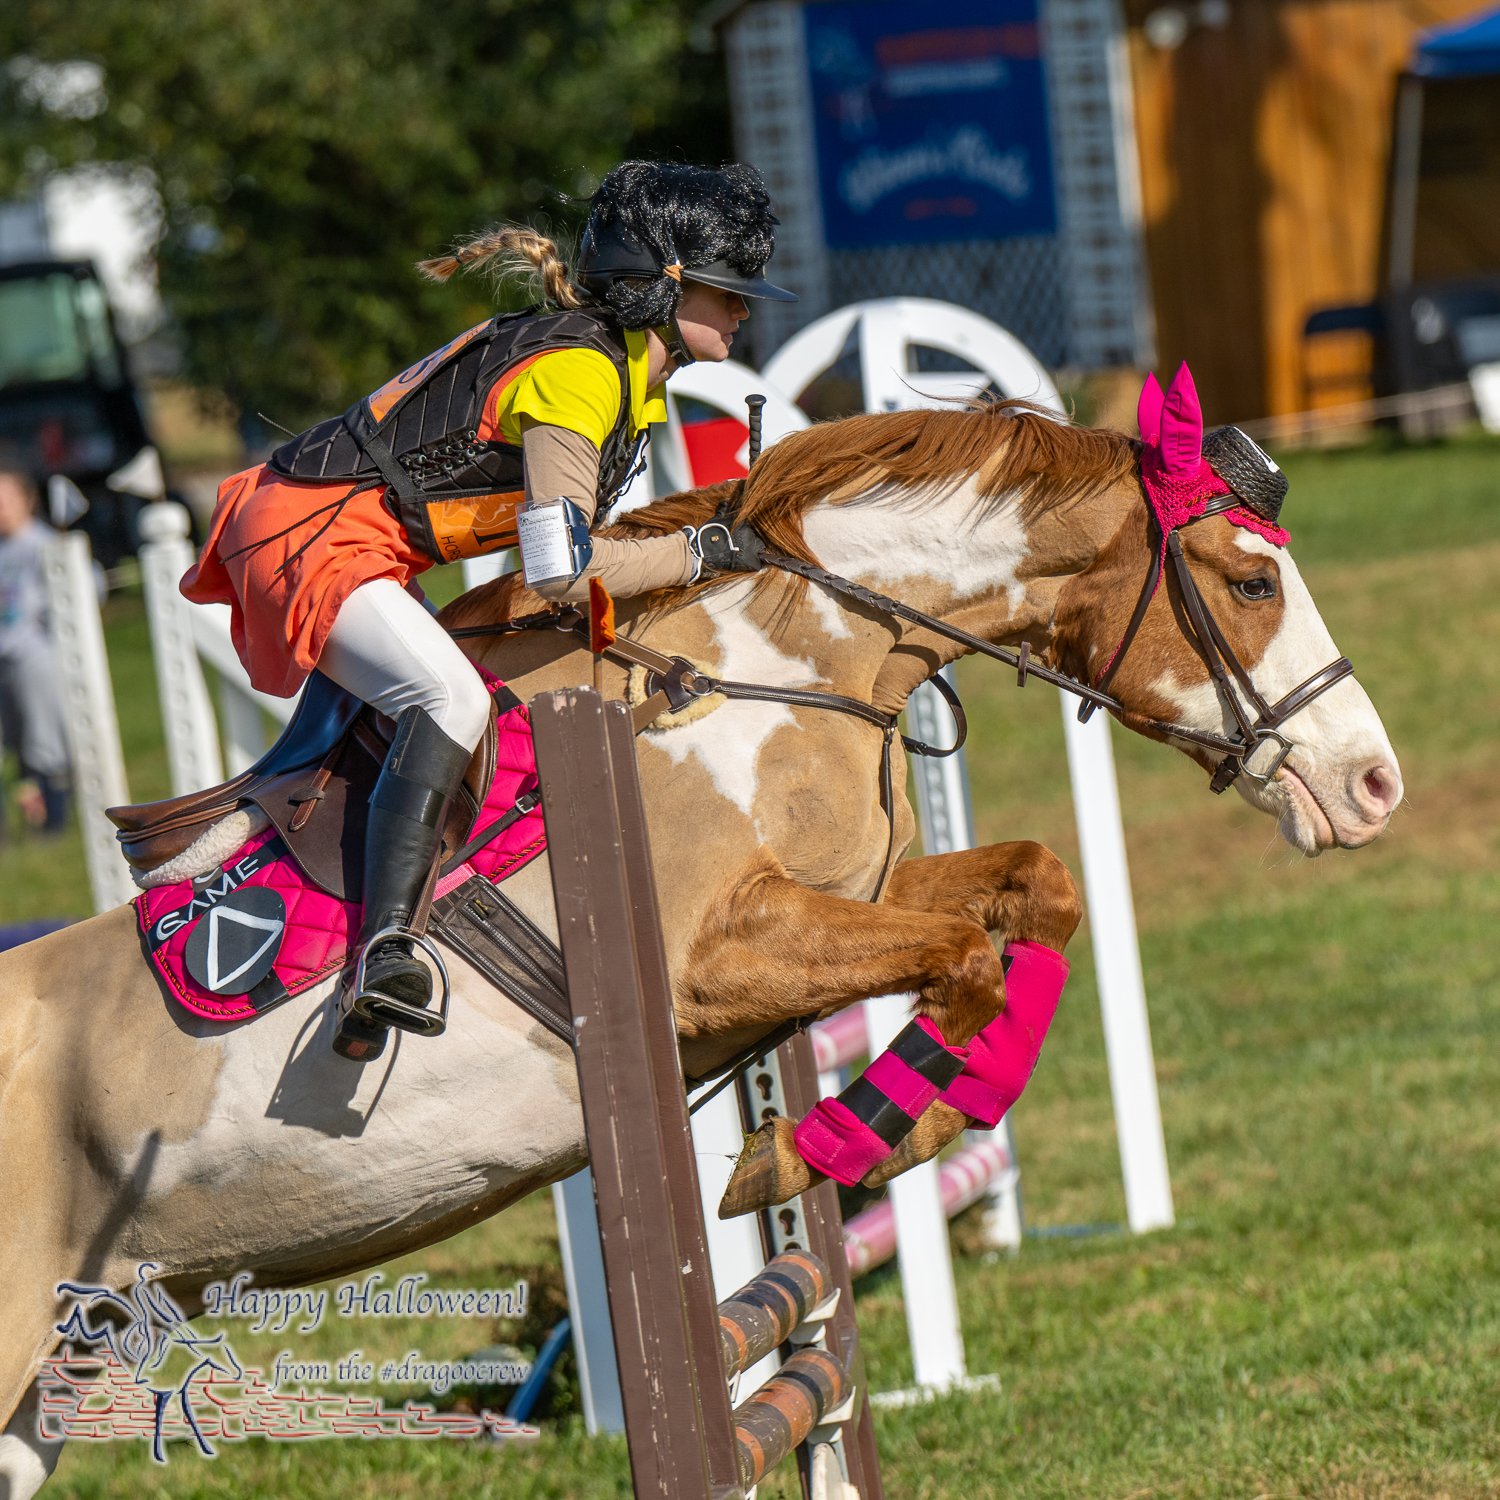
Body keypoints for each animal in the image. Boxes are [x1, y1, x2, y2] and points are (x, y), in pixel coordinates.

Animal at [0, 384, 1402, 1494]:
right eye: (1251, 580)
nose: (1374, 783)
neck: (796, 656)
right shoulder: (714, 964)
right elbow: (965, 963)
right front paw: (813, 1150)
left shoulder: (861, 896)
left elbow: (1032, 895)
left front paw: (897, 1126)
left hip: (55, 1377)